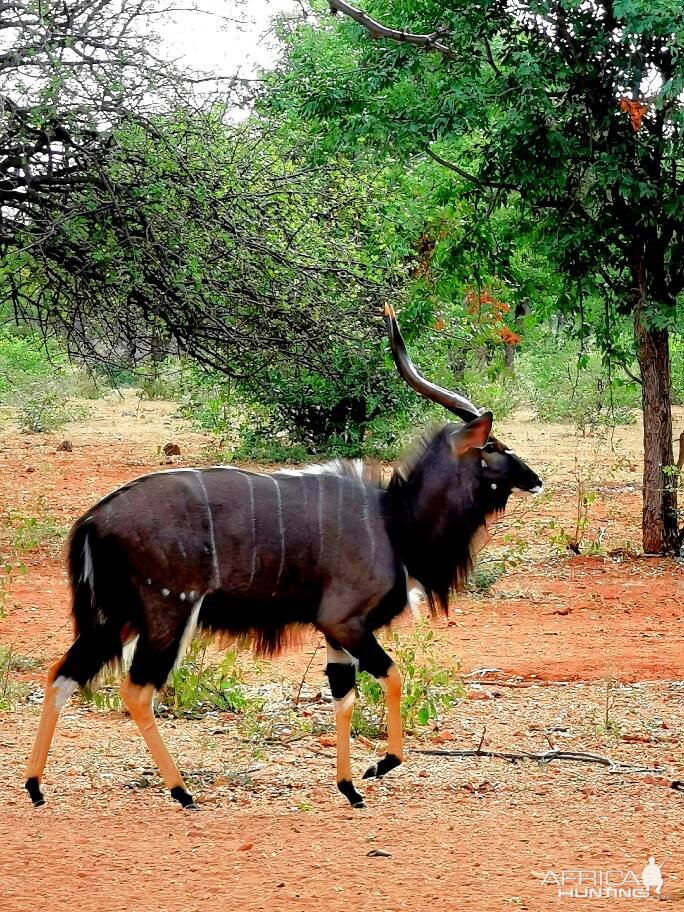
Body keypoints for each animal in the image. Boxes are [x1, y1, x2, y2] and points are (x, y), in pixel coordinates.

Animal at [24, 306, 544, 812]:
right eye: (493, 446)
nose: (535, 478)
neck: (394, 519)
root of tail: (93, 519)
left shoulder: (338, 633)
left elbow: (343, 698)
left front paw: (349, 788)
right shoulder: (344, 622)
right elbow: (393, 677)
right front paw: (379, 767)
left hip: (116, 617)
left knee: (62, 675)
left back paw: (35, 787)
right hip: (166, 611)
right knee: (136, 689)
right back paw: (182, 792)